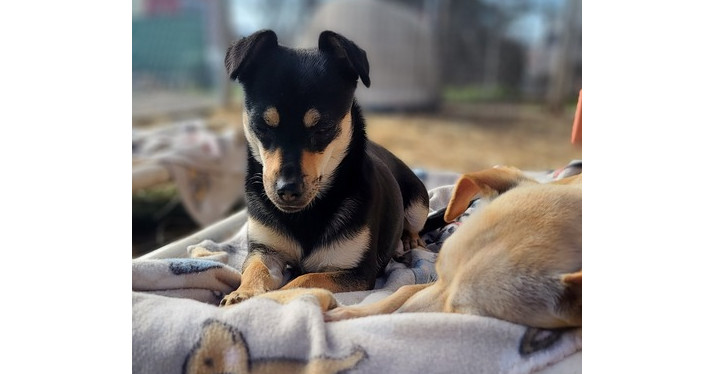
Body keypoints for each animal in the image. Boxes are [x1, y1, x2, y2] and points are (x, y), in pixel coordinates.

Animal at [220, 27, 430, 306]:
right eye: (262, 126)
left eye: (323, 129)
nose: (287, 190)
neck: (306, 213)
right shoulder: (265, 252)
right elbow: (256, 270)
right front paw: (243, 293)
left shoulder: (356, 272)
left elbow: (303, 279)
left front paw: (275, 297)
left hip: (418, 205)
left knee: (415, 224)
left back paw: (410, 241)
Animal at [258, 166, 580, 328]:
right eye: (439, 270)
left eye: (464, 314)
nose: (403, 317)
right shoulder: (432, 284)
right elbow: (399, 292)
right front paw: (348, 314)